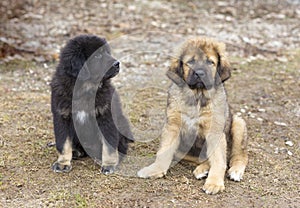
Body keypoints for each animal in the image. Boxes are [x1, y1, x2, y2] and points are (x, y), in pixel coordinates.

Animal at [51, 34, 133, 174]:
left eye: (107, 52)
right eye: (97, 56)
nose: (117, 64)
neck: (85, 89)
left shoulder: (105, 116)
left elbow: (109, 145)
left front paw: (109, 165)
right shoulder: (62, 116)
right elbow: (63, 143)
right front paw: (62, 163)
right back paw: (76, 152)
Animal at [138, 36, 248, 194]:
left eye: (210, 62)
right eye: (190, 62)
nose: (199, 73)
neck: (197, 96)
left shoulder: (215, 130)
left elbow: (219, 160)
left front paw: (214, 183)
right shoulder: (172, 126)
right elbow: (164, 151)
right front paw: (155, 170)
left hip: (238, 123)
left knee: (238, 155)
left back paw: (235, 170)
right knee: (204, 158)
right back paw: (202, 169)